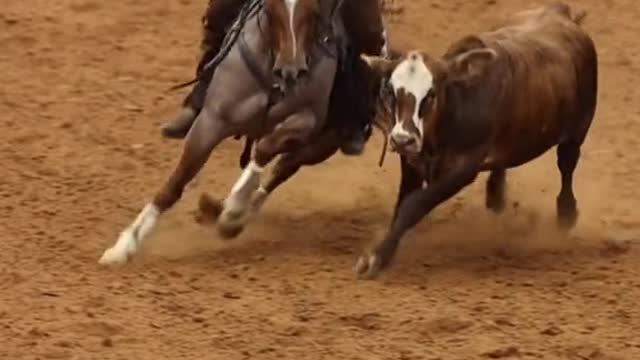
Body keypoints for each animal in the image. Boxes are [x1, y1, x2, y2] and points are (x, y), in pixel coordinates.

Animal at [98, 0, 352, 264]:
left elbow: (264, 150)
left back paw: (232, 214)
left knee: (282, 169)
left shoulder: (306, 121)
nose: (291, 70)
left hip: (322, 145)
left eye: (313, 8)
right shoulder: (211, 122)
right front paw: (123, 247)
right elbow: (175, 183)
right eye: (272, 7)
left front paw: (233, 211)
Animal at [352, 2, 596, 278]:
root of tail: (560, 13)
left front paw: (376, 257)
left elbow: (412, 206)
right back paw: (496, 195)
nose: (402, 139)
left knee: (567, 165)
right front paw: (382, 252)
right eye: (391, 91)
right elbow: (401, 207)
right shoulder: (413, 162)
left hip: (578, 129)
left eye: (431, 94)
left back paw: (566, 212)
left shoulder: (461, 170)